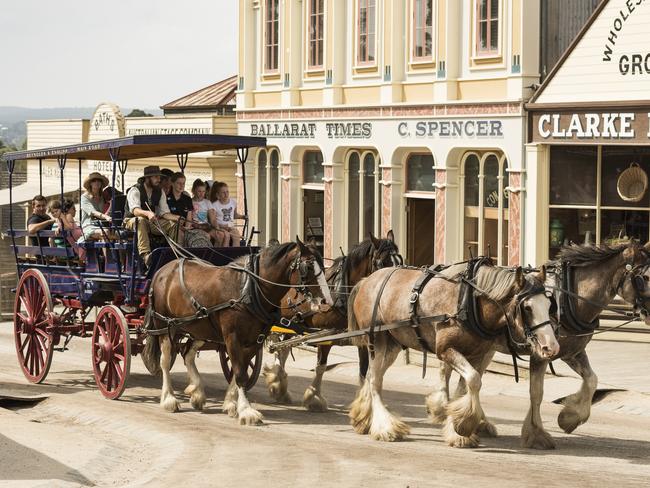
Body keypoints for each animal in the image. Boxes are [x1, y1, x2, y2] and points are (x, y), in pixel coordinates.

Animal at [264, 232, 400, 408]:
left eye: (400, 261)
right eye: (383, 263)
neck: (342, 291)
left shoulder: (360, 335)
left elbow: (364, 371)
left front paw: (363, 403)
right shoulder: (325, 333)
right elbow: (321, 366)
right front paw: (313, 396)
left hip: (292, 323)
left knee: (283, 350)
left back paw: (280, 384)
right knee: (277, 347)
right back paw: (276, 382)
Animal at [346, 264, 556, 446]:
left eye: (549, 304)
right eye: (527, 307)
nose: (551, 347)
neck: (469, 301)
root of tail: (366, 280)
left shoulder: (477, 353)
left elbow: (466, 387)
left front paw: (458, 426)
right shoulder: (446, 350)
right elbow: (474, 380)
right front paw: (463, 427)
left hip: (393, 344)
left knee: (372, 376)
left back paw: (364, 419)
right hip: (377, 339)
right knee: (375, 380)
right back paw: (385, 427)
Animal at [428, 240, 648, 450]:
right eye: (643, 278)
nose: (648, 314)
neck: (568, 298)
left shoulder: (572, 353)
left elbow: (592, 380)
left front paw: (570, 417)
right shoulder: (541, 354)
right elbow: (536, 393)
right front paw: (537, 434)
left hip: (485, 350)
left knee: (465, 379)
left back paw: (474, 421)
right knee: (446, 371)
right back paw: (443, 410)